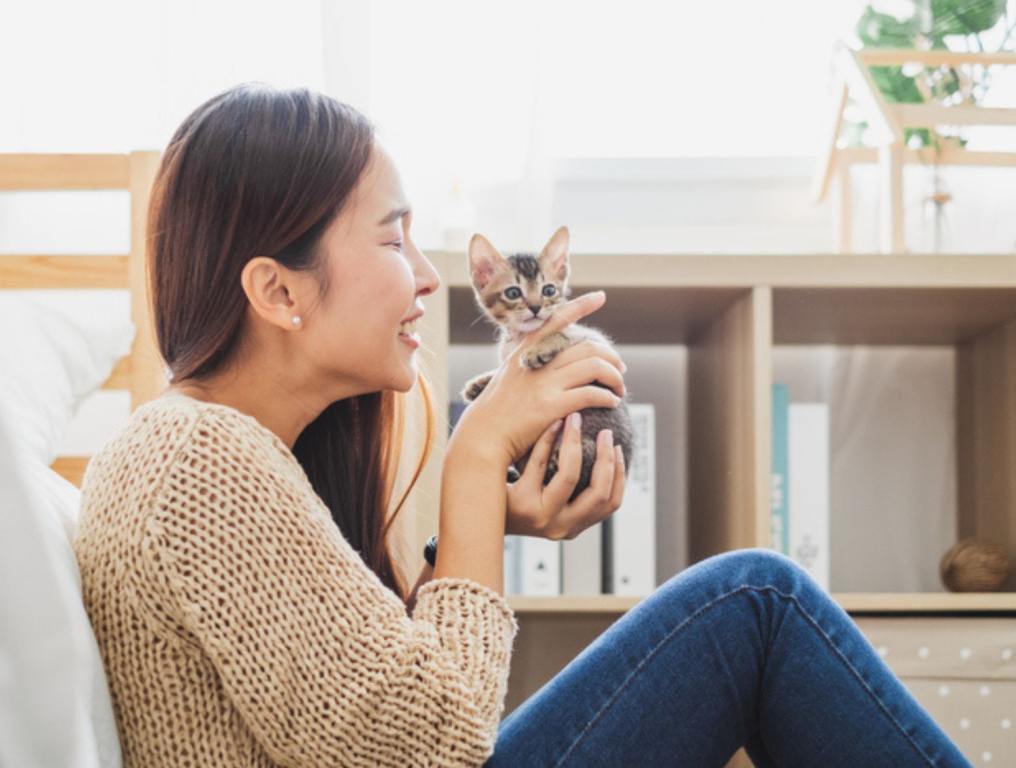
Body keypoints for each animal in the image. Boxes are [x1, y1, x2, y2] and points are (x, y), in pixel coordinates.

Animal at [459, 224, 625, 507]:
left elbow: (561, 334)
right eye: (513, 293)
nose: (536, 307)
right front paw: (481, 384)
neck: (521, 338)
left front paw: (538, 349)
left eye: (548, 290)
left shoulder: (595, 342)